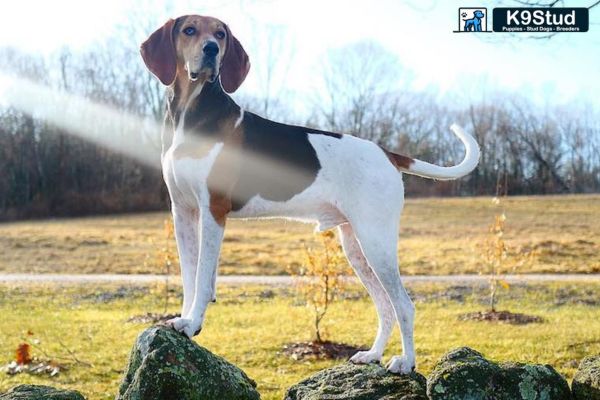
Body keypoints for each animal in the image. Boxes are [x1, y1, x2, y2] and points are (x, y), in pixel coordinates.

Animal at [139, 14, 478, 374]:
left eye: (220, 34)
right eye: (189, 30)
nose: (211, 50)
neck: (191, 113)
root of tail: (386, 153)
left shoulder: (213, 211)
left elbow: (203, 278)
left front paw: (192, 323)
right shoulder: (183, 212)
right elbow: (189, 277)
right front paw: (185, 319)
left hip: (377, 242)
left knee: (404, 304)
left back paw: (406, 362)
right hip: (356, 247)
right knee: (385, 305)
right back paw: (372, 355)